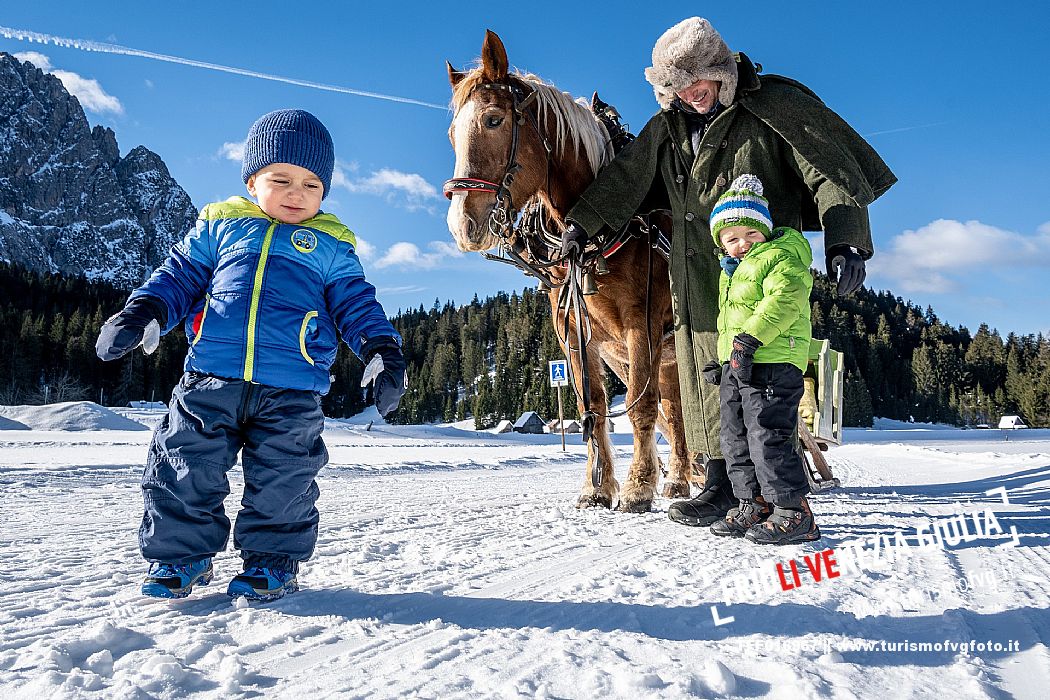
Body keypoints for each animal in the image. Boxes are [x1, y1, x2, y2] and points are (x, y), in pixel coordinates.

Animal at [443, 30, 697, 512]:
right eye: (452, 134)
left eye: (493, 120)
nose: (463, 224)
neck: (594, 231)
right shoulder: (574, 333)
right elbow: (592, 406)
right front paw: (596, 487)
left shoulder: (641, 325)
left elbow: (640, 406)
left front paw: (638, 486)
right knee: (676, 412)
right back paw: (679, 480)